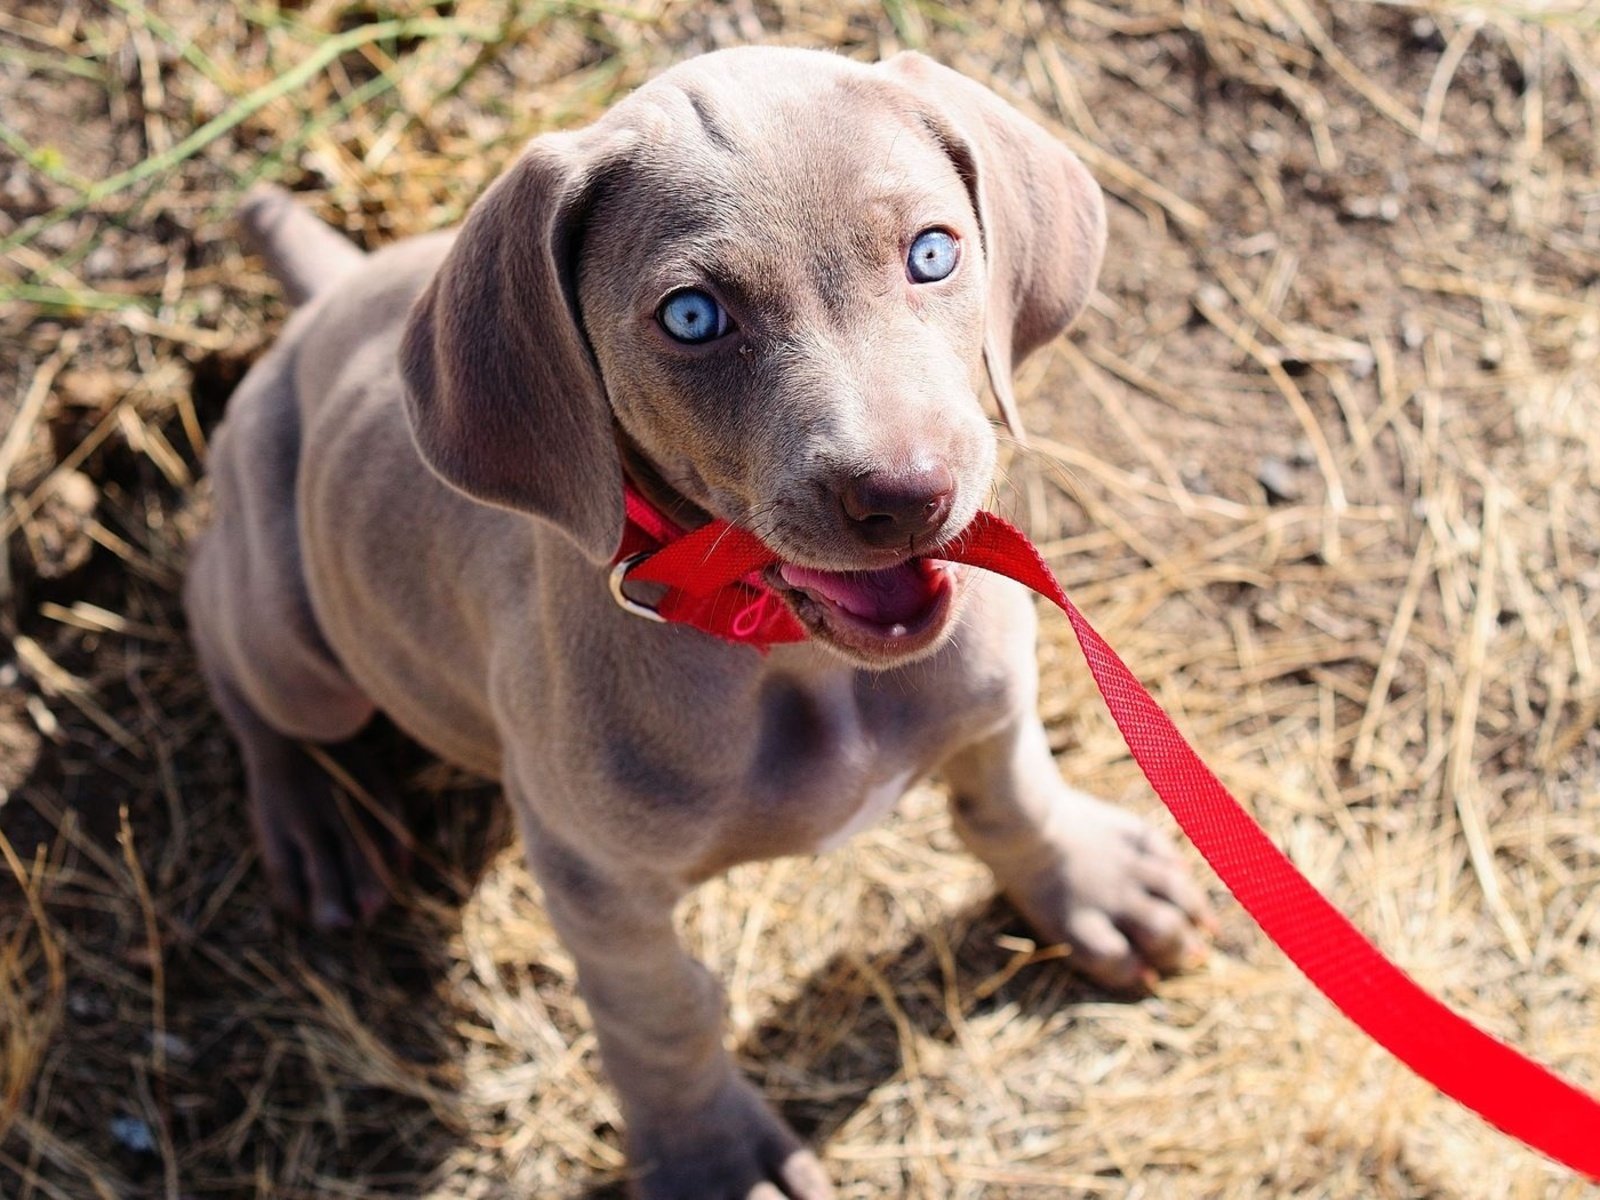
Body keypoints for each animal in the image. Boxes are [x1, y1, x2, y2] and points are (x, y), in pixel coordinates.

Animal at [184, 44, 1209, 1196]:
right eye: (691, 318)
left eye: (932, 253)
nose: (904, 495)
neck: (792, 654)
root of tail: (325, 303)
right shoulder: (596, 881)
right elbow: (662, 1014)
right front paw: (710, 1155)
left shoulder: (993, 689)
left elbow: (1014, 793)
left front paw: (1092, 882)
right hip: (294, 637)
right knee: (226, 639)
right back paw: (314, 820)